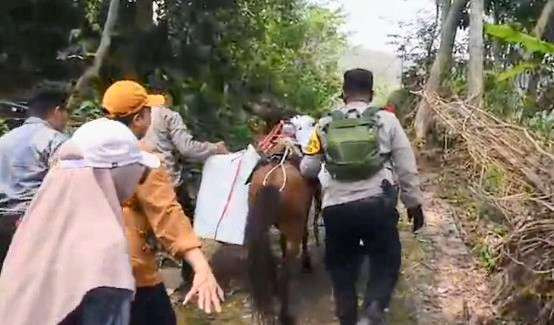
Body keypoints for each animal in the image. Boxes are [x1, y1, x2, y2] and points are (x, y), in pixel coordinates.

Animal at [245, 156, 316, 322]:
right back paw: (285, 314)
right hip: (293, 228)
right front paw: (306, 263)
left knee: (268, 257)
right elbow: (305, 234)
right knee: (285, 273)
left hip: (262, 227)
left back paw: (273, 290)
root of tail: (272, 180)